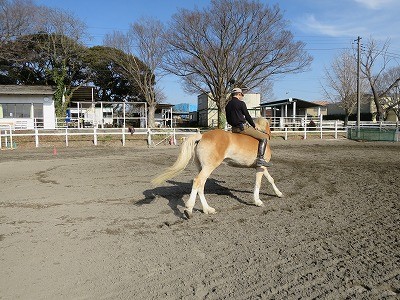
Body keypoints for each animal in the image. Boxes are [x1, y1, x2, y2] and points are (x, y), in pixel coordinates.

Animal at [152, 117, 282, 218]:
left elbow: (271, 179)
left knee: (201, 186)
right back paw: (189, 210)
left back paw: (207, 209)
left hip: (202, 167)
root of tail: (202, 136)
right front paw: (258, 201)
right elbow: (258, 183)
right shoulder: (261, 167)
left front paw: (279, 193)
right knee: (197, 182)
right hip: (209, 167)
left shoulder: (262, 167)